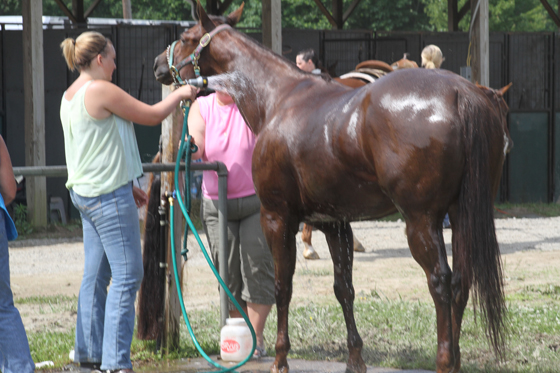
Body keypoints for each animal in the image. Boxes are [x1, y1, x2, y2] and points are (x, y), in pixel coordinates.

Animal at [154, 4, 512, 370]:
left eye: (187, 37)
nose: (157, 65)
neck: (278, 99)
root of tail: (460, 93)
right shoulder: (334, 223)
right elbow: (344, 288)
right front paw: (355, 358)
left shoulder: (277, 218)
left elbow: (282, 287)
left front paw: (280, 358)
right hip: (463, 215)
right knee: (461, 281)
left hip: (422, 221)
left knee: (440, 282)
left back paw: (444, 359)